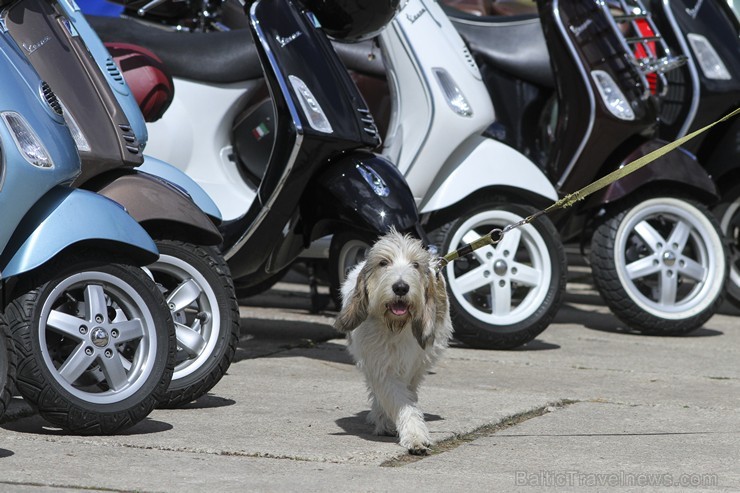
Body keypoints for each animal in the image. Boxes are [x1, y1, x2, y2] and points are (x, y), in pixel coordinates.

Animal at [334, 229, 450, 456]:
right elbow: (395, 396)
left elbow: (406, 398)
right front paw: (411, 434)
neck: (395, 327)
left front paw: (414, 435)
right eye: (383, 262)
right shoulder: (378, 362)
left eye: (415, 264)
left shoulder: (413, 362)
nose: (401, 287)